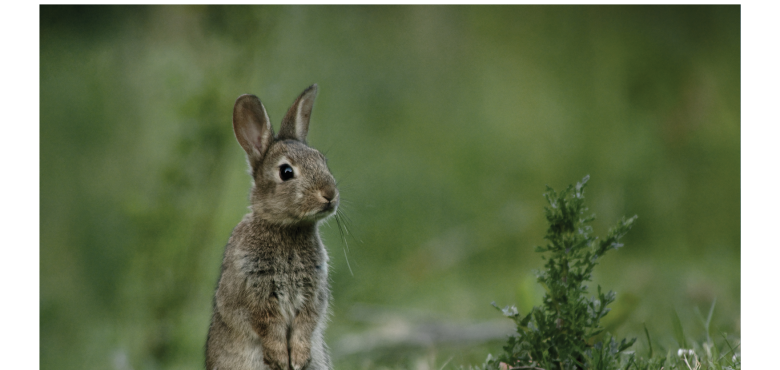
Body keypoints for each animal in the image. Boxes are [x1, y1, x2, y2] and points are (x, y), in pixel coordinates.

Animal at [207, 85, 338, 370]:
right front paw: (280, 359)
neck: (285, 228)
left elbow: (305, 323)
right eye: (286, 172)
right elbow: (268, 326)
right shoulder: (254, 293)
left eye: (322, 160)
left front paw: (297, 358)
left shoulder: (312, 295)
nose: (330, 195)